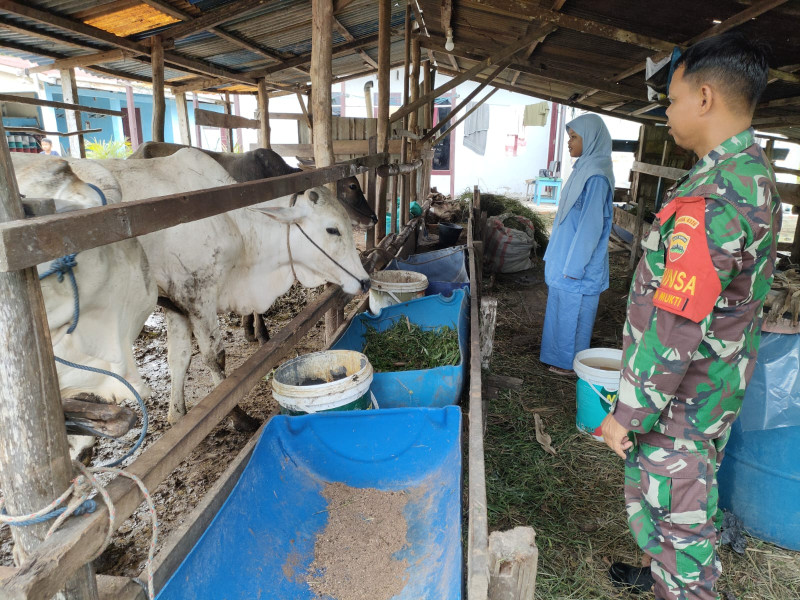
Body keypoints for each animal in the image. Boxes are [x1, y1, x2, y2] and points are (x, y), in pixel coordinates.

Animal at [67, 150, 370, 432]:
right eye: (332, 229)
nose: (366, 281)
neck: (234, 226)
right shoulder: (198, 296)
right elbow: (215, 359)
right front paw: (235, 416)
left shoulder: (176, 304)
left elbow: (179, 358)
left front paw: (177, 414)